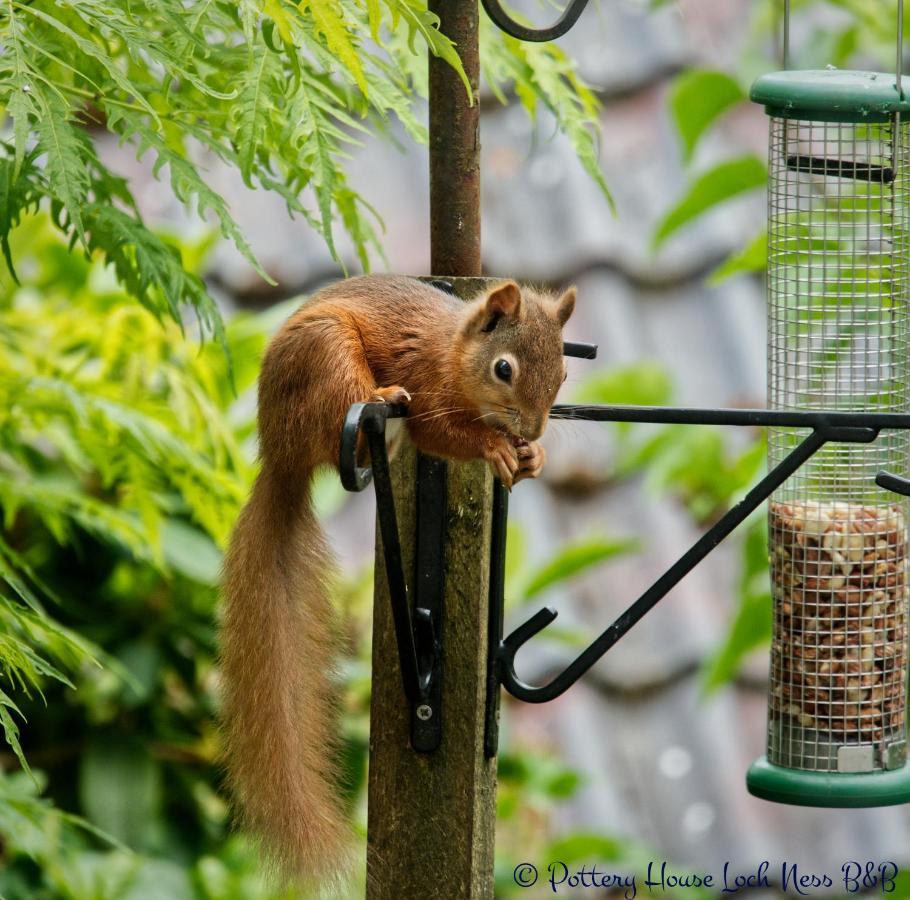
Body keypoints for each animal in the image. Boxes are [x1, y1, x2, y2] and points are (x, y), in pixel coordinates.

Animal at [220, 274, 572, 880]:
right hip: (327, 357)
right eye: (504, 369)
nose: (531, 428)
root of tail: (280, 451)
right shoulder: (427, 383)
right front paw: (493, 447)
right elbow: (441, 432)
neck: (454, 351)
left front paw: (532, 457)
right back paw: (383, 400)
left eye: (565, 373)